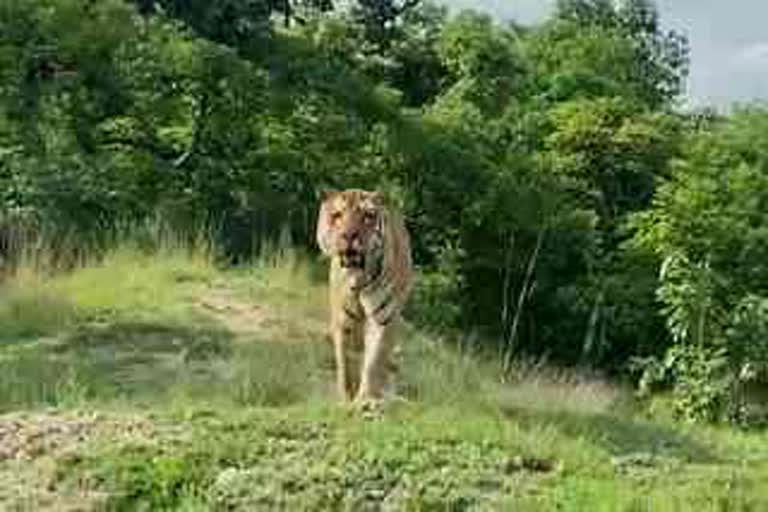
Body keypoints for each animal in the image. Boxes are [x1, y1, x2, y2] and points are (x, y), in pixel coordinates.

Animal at [316, 188, 414, 404]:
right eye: (337, 215)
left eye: (368, 216)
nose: (349, 235)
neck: (358, 278)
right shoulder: (343, 321)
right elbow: (345, 362)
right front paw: (345, 398)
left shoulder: (383, 318)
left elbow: (374, 361)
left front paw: (365, 399)